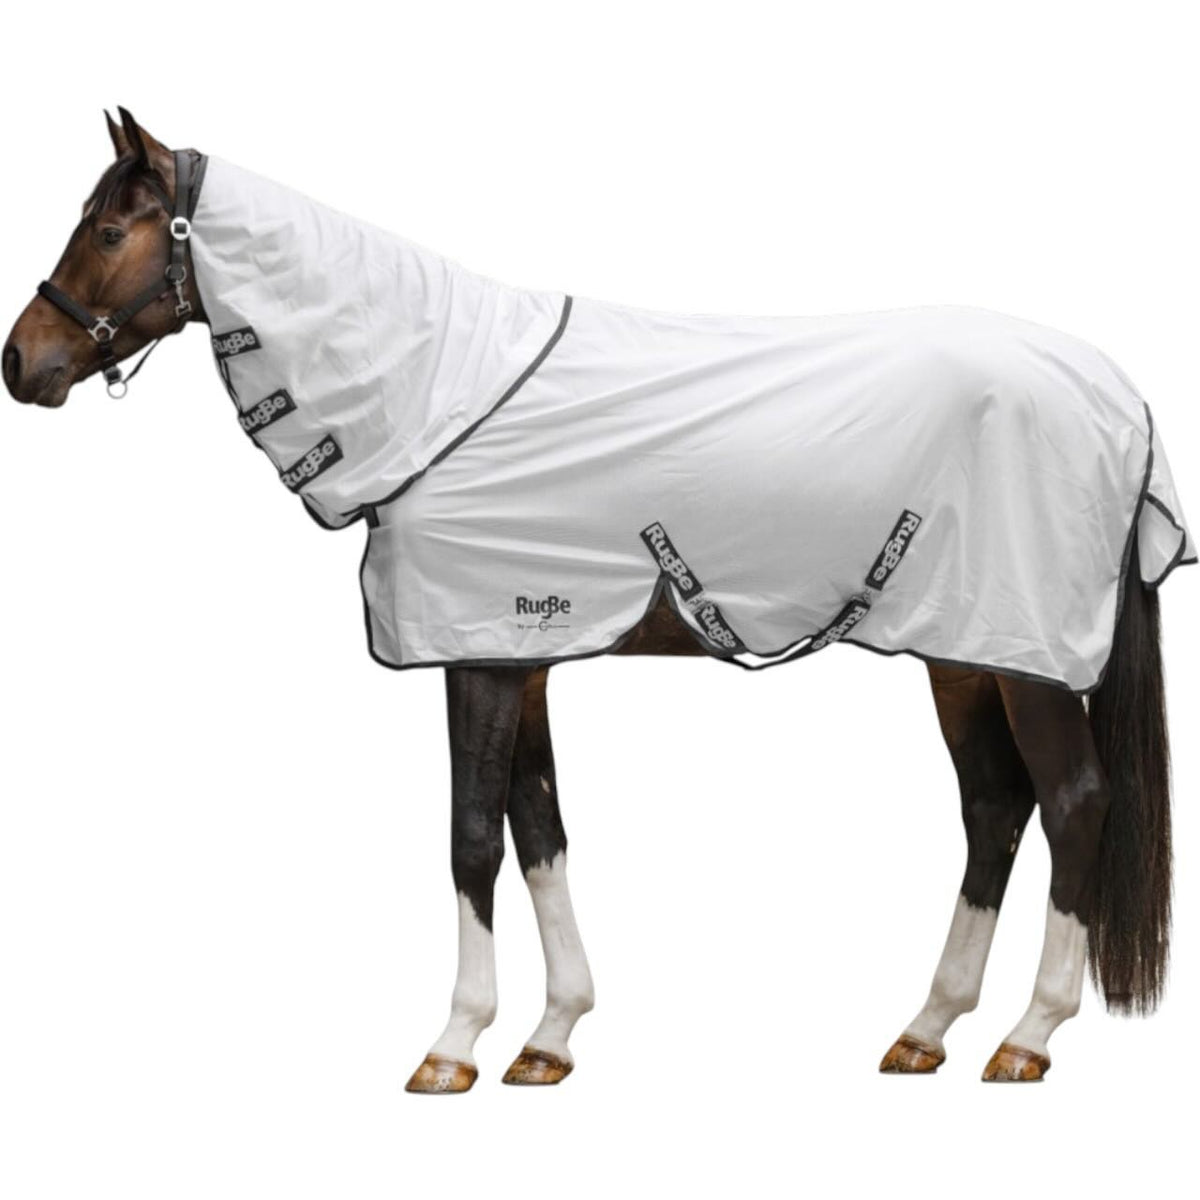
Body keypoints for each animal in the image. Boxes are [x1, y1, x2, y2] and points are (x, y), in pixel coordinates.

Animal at [4, 109, 1190, 1090]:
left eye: (107, 231)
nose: (23, 361)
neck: (441, 394)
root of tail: (1120, 400)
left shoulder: (480, 656)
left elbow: (472, 837)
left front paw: (453, 1045)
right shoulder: (520, 651)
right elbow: (541, 828)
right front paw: (550, 1037)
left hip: (1026, 658)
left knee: (1075, 803)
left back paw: (1026, 1038)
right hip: (966, 651)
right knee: (995, 808)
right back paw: (927, 1029)